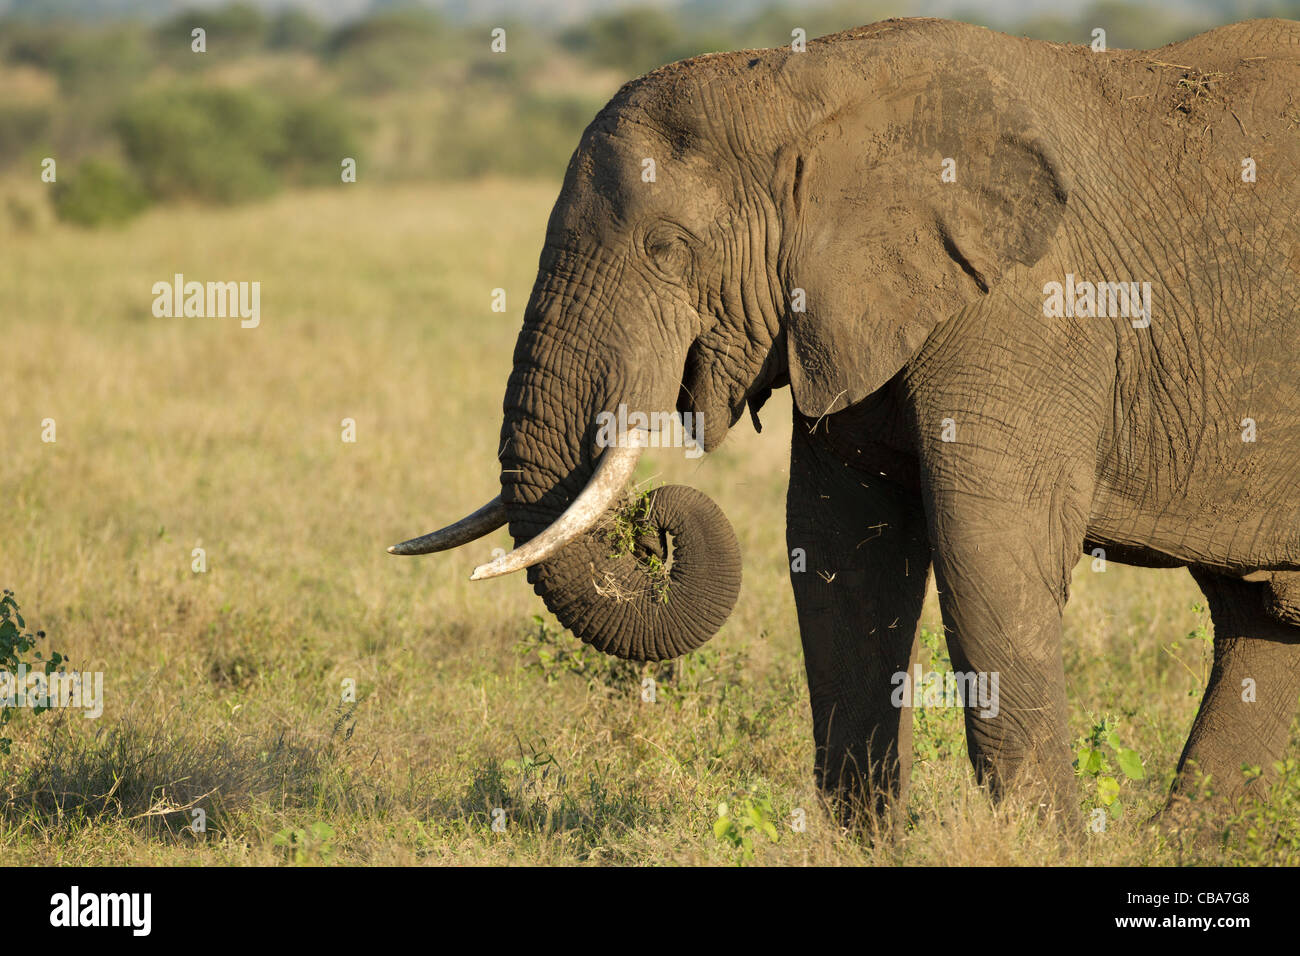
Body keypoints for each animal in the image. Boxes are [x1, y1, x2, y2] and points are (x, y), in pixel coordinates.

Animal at [390, 16, 1300, 832]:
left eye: (667, 247)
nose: (652, 524)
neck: (809, 84)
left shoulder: (1033, 313)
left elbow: (988, 554)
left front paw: (1042, 846)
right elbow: (839, 555)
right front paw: (870, 844)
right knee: (1261, 624)